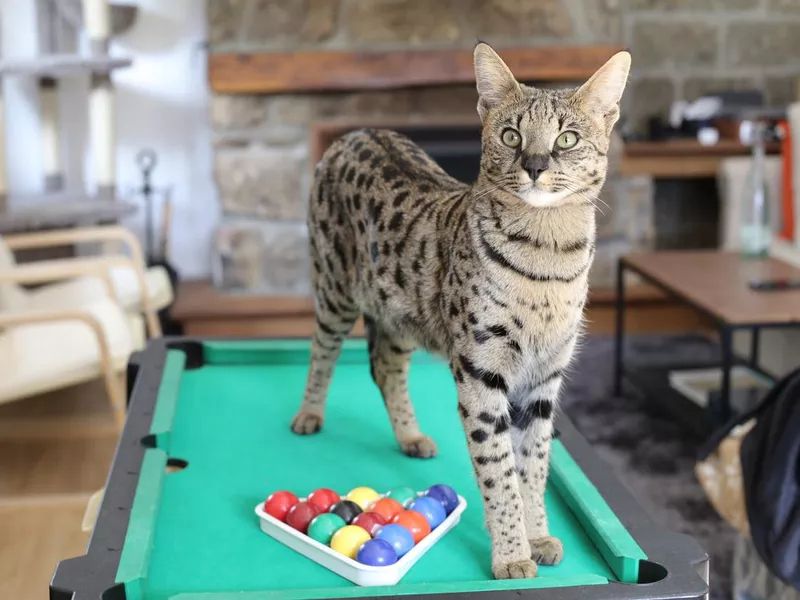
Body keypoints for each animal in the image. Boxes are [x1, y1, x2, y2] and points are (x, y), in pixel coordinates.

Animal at [290, 43, 632, 580]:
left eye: (567, 139)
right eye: (511, 135)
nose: (535, 164)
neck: (549, 255)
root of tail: (358, 130)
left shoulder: (545, 380)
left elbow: (534, 465)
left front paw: (538, 535)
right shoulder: (481, 371)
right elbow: (499, 471)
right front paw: (512, 554)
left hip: (399, 311)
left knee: (384, 368)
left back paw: (411, 436)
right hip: (334, 287)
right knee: (321, 348)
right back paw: (309, 413)